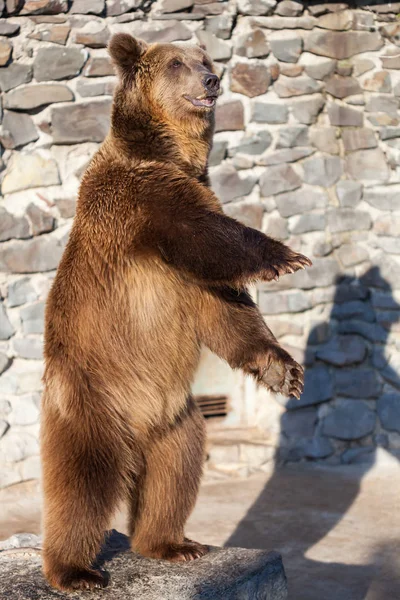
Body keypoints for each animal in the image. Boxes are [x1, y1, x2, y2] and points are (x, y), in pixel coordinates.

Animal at [42, 32, 312, 592]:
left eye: (204, 60)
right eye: (175, 64)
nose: (211, 80)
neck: (171, 155)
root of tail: (140, 428)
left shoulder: (184, 270)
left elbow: (224, 310)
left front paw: (282, 371)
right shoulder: (145, 203)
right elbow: (208, 236)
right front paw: (285, 256)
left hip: (177, 417)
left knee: (175, 475)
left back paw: (173, 543)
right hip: (92, 397)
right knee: (83, 482)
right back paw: (75, 570)